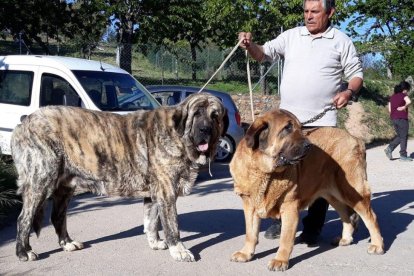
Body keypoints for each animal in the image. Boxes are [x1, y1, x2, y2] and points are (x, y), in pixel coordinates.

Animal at [228, 108, 384, 272]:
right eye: (287, 128)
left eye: (300, 128)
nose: (309, 145)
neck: (265, 171)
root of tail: (356, 139)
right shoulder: (250, 206)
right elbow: (250, 234)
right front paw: (246, 253)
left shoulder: (289, 208)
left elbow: (285, 239)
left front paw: (280, 260)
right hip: (333, 195)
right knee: (346, 215)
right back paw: (345, 239)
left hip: (352, 192)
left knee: (371, 217)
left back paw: (377, 245)